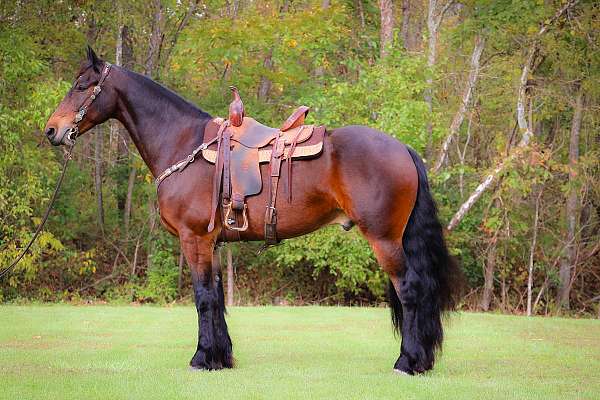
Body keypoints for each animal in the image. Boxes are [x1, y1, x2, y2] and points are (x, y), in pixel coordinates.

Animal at [44, 47, 462, 376]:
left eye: (82, 86)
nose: (51, 130)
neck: (183, 144)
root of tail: (403, 148)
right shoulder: (211, 243)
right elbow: (216, 297)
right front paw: (220, 357)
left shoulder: (194, 239)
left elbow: (203, 298)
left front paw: (201, 358)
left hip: (384, 239)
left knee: (411, 291)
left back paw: (408, 362)